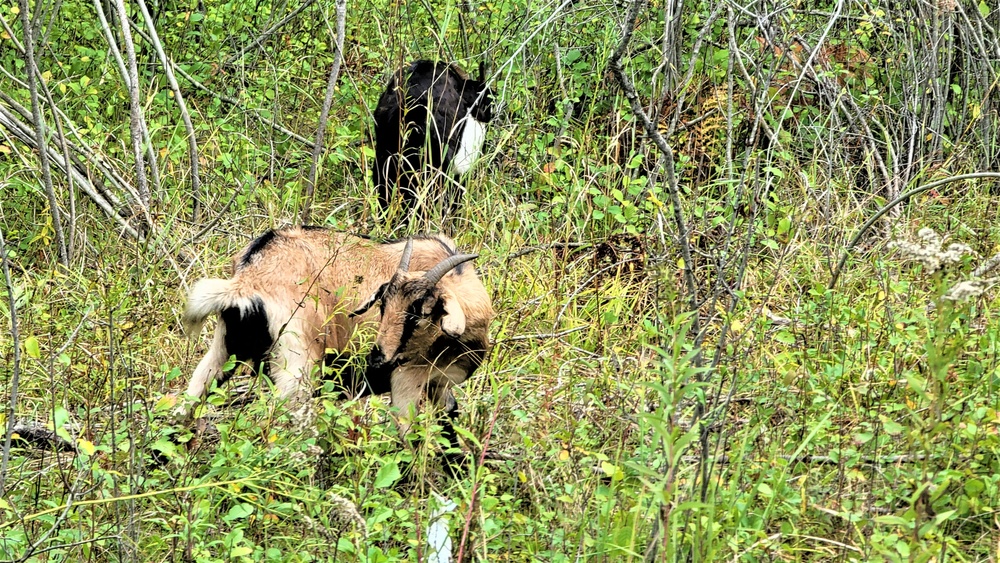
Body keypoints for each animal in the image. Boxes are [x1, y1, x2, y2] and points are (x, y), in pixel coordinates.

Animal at [179, 226, 496, 450]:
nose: (377, 357)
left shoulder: (439, 385)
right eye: (383, 305)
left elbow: (449, 426)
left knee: (188, 401)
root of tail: (249, 278)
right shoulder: (407, 378)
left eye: (418, 314)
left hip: (225, 349)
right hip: (298, 367)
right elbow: (412, 440)